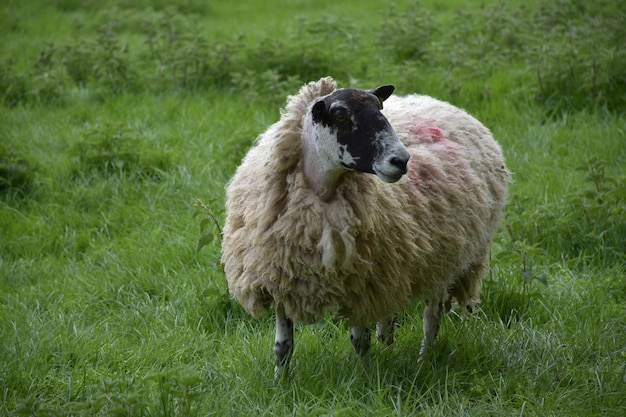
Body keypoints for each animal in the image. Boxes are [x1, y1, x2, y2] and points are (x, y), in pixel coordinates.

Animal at [219, 76, 508, 378]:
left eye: (379, 107)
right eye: (340, 116)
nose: (401, 160)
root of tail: (439, 101)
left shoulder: (359, 284)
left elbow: (360, 341)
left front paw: (366, 379)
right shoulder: (281, 277)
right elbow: (282, 346)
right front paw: (280, 382)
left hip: (446, 259)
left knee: (431, 318)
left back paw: (424, 360)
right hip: (396, 265)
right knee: (390, 318)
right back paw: (390, 347)